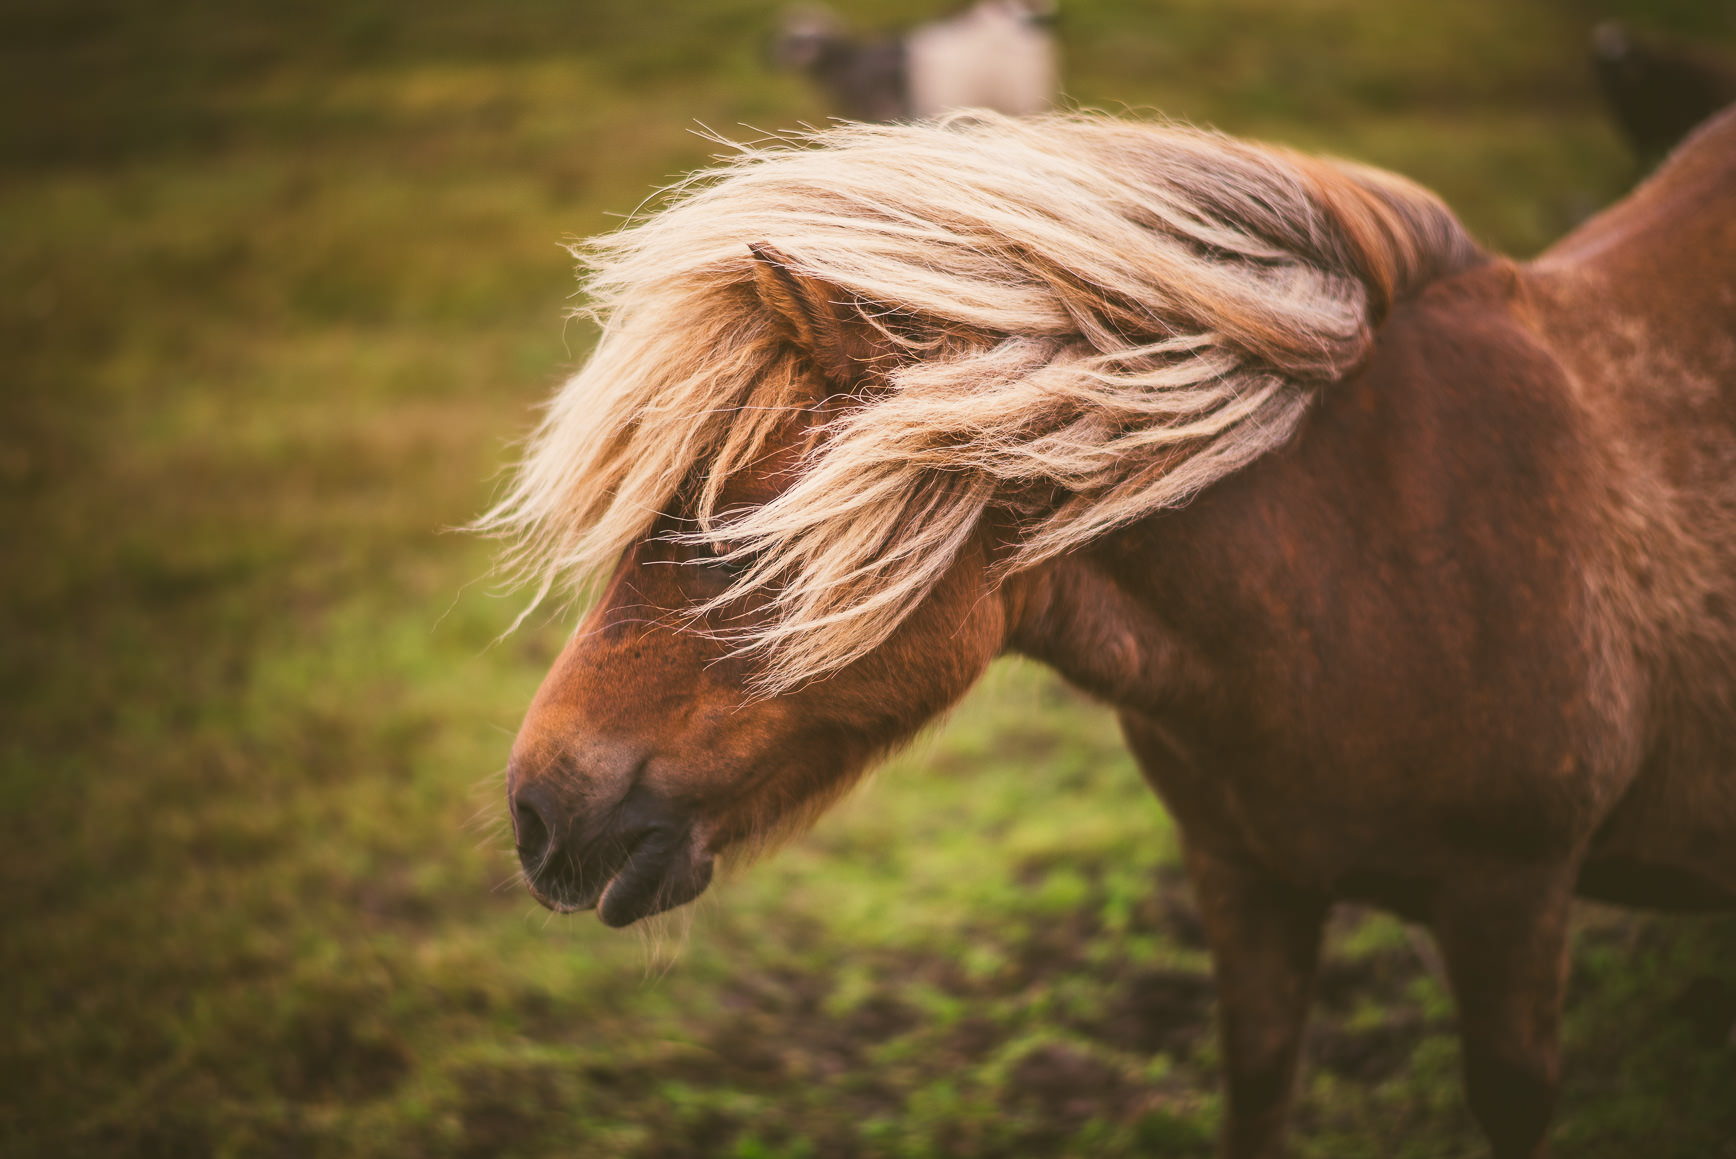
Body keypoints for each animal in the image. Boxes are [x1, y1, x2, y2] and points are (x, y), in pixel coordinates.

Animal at [482, 111, 1736, 1159]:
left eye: (735, 530)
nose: (541, 812)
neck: (1364, 563)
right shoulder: (1241, 880)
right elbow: (1257, 1088)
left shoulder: (1510, 903)